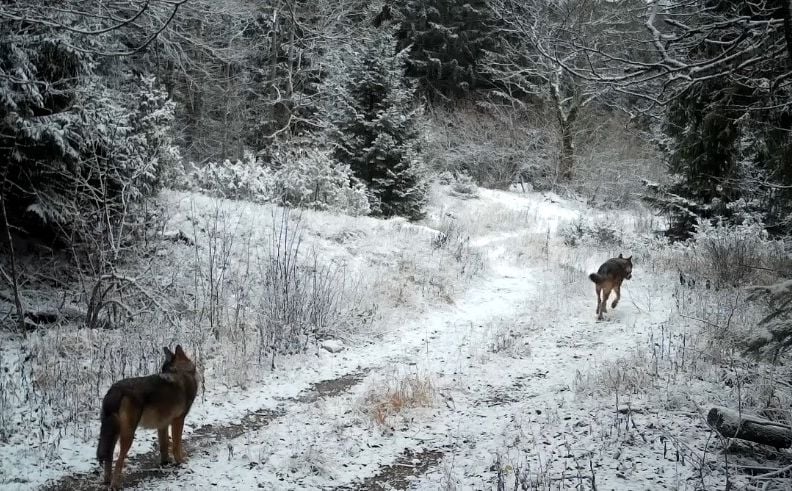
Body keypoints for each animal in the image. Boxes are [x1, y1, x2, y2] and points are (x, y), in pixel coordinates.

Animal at [96, 346, 197, 488]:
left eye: (163, 370)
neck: (183, 373)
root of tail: (115, 390)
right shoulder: (178, 420)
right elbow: (177, 445)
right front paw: (181, 462)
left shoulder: (163, 424)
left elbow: (164, 445)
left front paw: (165, 462)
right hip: (128, 435)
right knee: (119, 460)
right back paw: (115, 485)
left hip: (113, 433)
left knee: (108, 456)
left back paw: (107, 480)